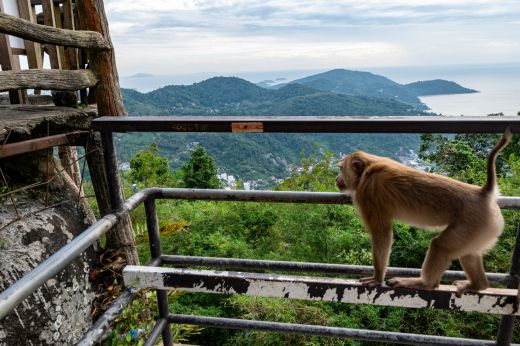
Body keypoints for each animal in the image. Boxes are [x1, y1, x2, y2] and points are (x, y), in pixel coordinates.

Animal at [338, 128, 512, 296]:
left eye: (340, 168)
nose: (336, 178)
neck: (367, 169)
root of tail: (484, 193)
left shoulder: (368, 193)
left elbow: (382, 233)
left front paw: (378, 277)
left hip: (474, 223)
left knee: (439, 246)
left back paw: (424, 283)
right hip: (482, 230)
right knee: (468, 254)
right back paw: (478, 285)